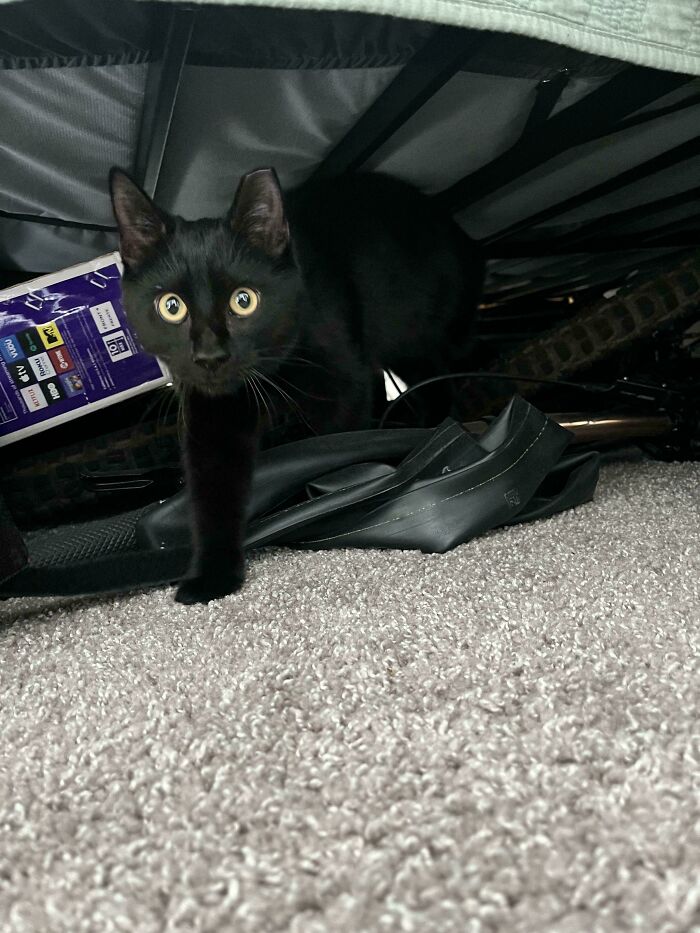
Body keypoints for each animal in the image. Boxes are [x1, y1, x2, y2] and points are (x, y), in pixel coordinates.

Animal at [109, 167, 482, 604]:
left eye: (244, 300)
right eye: (171, 307)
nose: (210, 355)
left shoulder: (343, 384)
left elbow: (337, 446)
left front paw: (330, 506)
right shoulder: (213, 410)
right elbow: (214, 488)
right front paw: (213, 574)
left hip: (412, 331)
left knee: (436, 381)